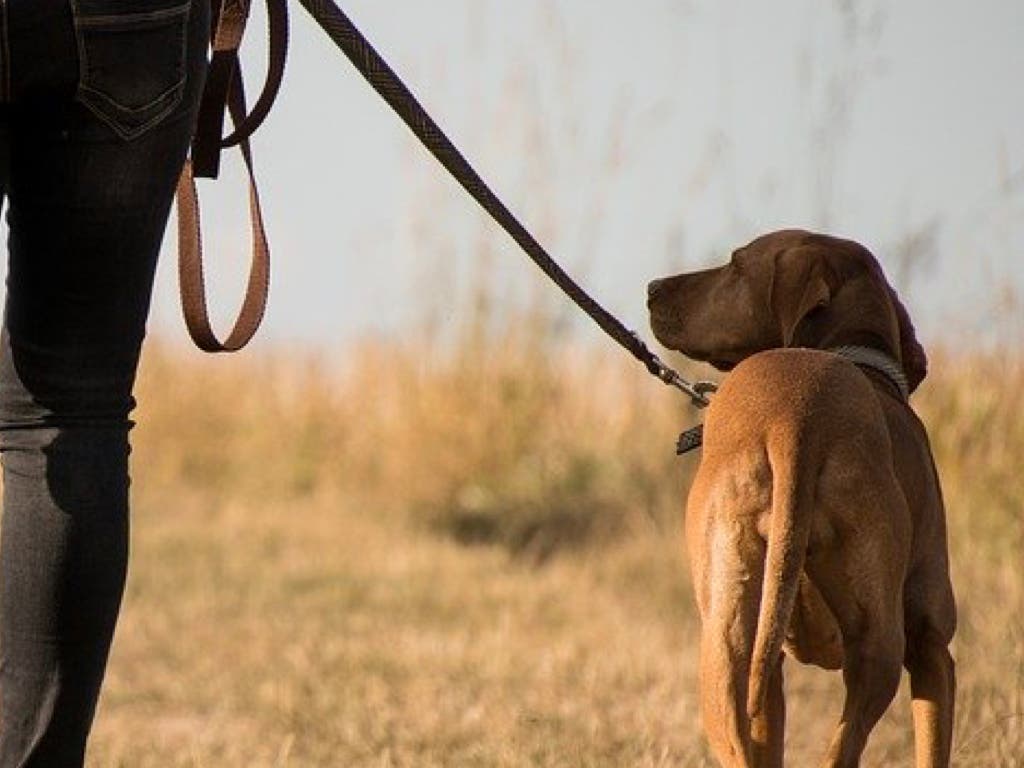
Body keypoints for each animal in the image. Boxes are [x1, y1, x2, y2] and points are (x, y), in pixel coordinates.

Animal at [651, 230, 954, 768]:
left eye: (735, 265)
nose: (651, 288)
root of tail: (795, 419)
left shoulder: (769, 666)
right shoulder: (932, 643)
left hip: (725, 647)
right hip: (880, 646)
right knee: (844, 745)